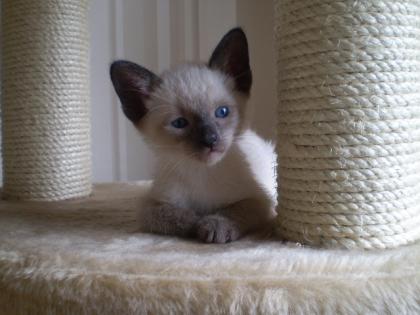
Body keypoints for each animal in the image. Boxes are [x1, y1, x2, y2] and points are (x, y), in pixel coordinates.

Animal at [110, 27, 278, 244]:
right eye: (180, 123)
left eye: (222, 112)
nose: (210, 141)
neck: (203, 172)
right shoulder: (152, 204)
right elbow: (175, 216)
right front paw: (197, 224)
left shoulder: (259, 199)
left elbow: (232, 211)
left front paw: (215, 226)